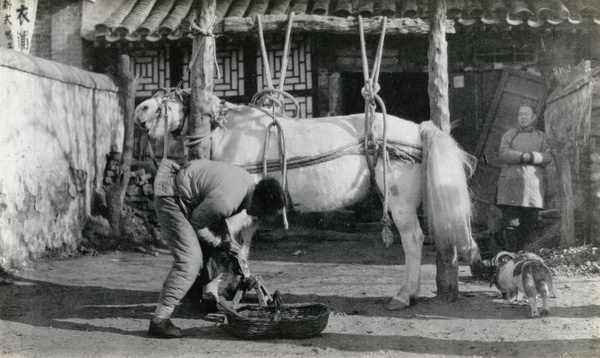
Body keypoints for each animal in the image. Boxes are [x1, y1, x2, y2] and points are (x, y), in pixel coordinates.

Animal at [135, 89, 478, 310]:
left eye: (175, 96)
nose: (141, 110)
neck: (231, 133)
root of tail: (418, 129)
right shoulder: (251, 212)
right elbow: (240, 247)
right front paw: (236, 285)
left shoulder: (234, 207)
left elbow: (220, 243)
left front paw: (212, 288)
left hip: (400, 203)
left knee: (413, 240)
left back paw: (404, 295)